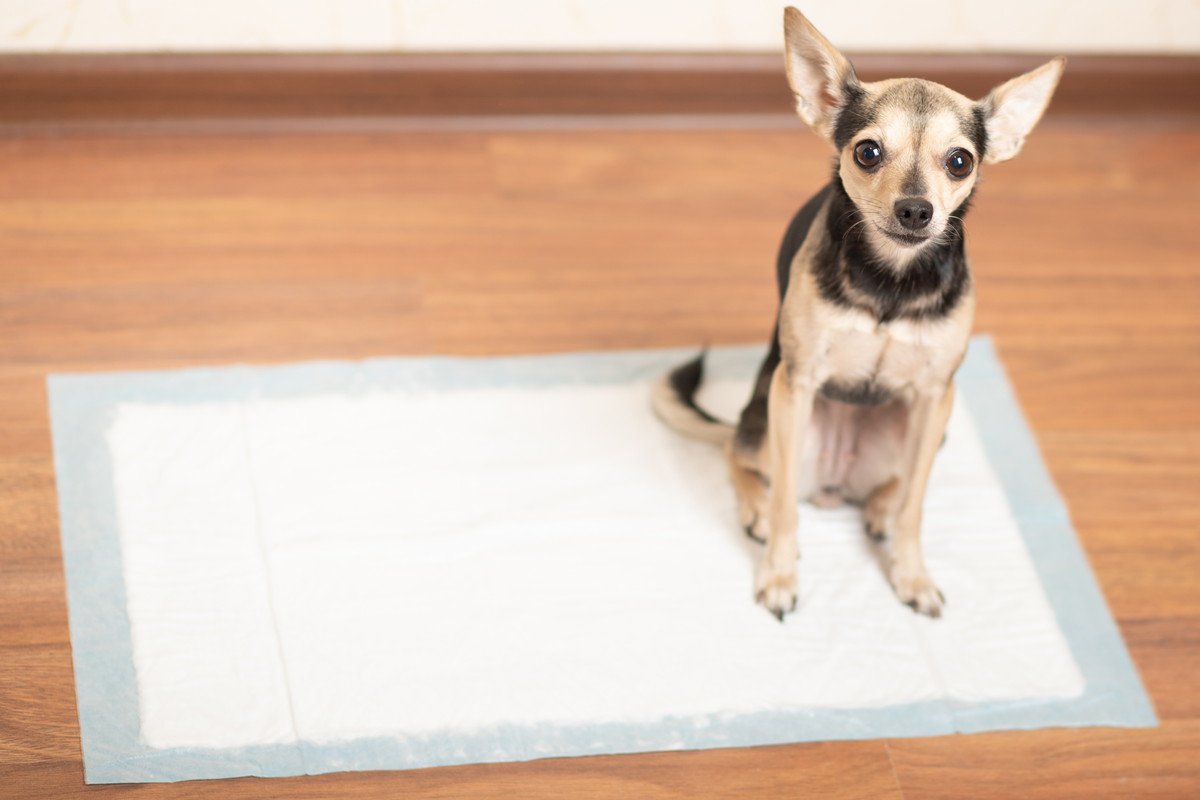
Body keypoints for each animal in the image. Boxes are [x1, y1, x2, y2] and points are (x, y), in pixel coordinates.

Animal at [652, 6, 1065, 618]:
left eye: (960, 162)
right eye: (868, 152)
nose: (916, 209)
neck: (891, 279)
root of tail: (834, 485)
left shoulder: (934, 396)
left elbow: (917, 505)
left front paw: (911, 574)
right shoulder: (796, 386)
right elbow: (785, 509)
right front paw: (778, 574)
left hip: (928, 425)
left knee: (899, 483)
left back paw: (879, 508)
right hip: (769, 419)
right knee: (741, 457)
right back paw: (756, 507)